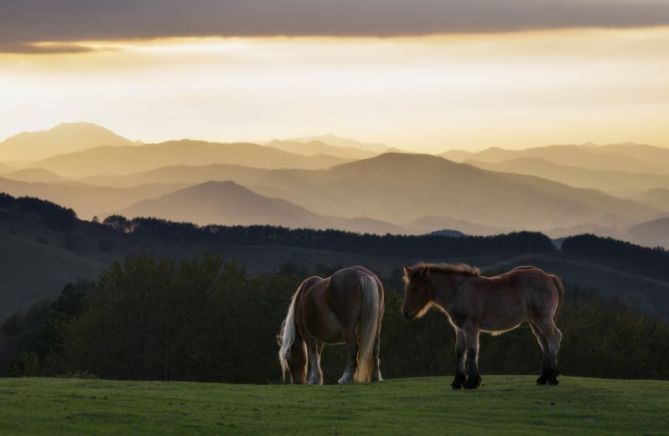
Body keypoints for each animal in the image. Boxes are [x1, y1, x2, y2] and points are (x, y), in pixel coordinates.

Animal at [402, 262, 564, 388]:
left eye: (415, 288)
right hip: (534, 322)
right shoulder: (459, 328)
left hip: (543, 319)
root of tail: (550, 277)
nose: (406, 313)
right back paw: (543, 377)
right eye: (407, 288)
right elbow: (460, 351)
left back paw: (553, 376)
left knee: (554, 338)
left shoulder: (471, 326)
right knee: (544, 343)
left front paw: (472, 382)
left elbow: (472, 351)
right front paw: (457, 381)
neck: (458, 291)